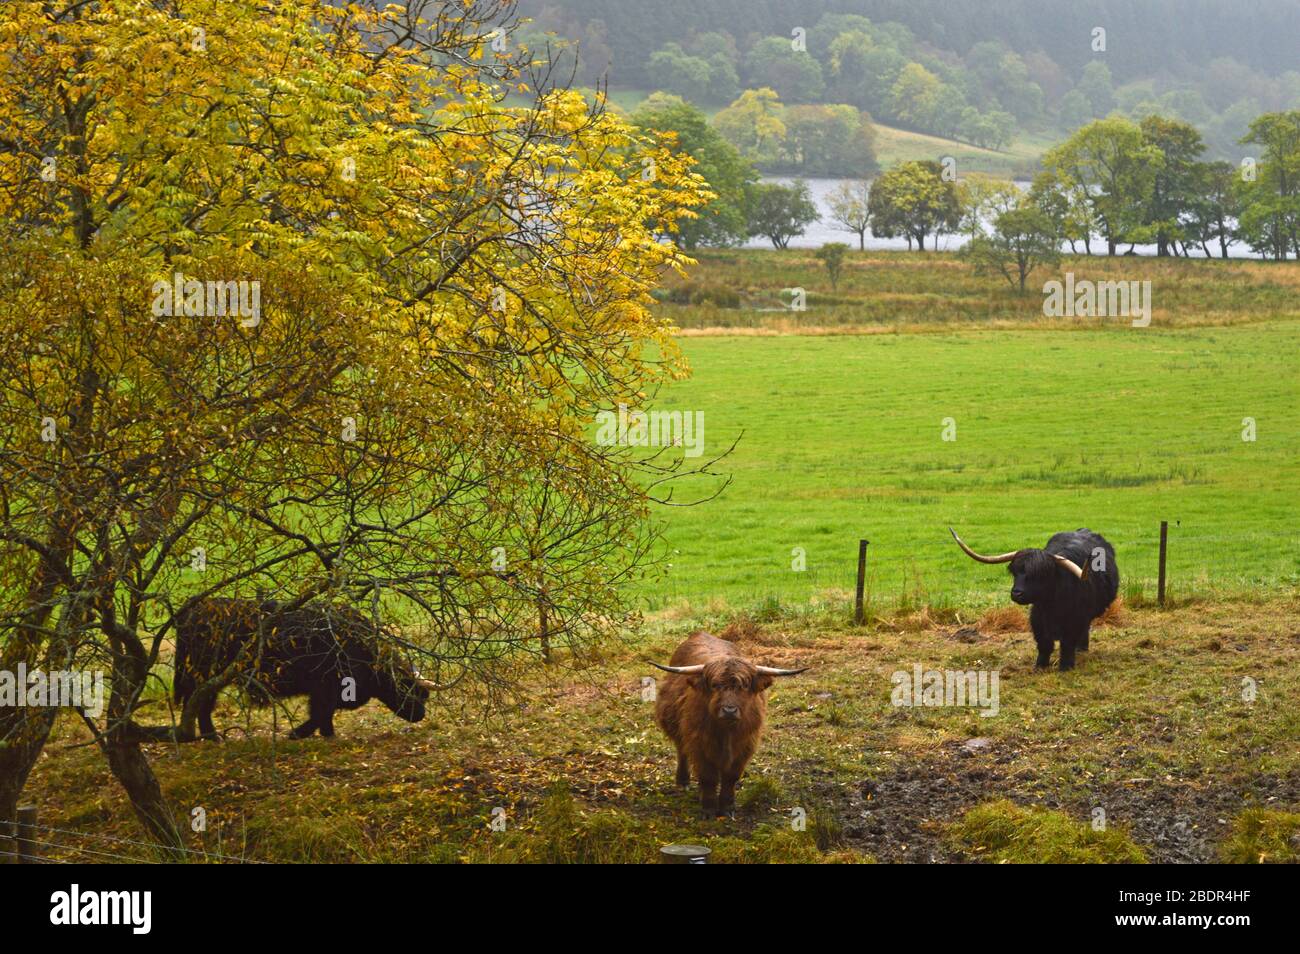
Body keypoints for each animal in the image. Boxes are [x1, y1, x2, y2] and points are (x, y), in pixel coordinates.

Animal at [173, 597, 433, 739]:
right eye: (412, 690)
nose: (421, 714)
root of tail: (197, 608)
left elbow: (325, 713)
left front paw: (326, 733)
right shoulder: (325, 687)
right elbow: (320, 712)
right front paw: (298, 733)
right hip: (202, 676)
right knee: (200, 705)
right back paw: (212, 736)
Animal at [651, 632, 807, 817]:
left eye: (744, 685)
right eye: (714, 685)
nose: (729, 710)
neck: (726, 732)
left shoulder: (746, 744)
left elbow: (731, 776)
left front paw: (727, 806)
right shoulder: (698, 742)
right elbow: (707, 776)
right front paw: (709, 807)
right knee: (682, 751)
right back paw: (683, 782)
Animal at [950, 527, 1119, 671]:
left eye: (1040, 575)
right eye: (1015, 572)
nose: (1016, 593)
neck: (1052, 605)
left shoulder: (1075, 620)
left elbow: (1067, 644)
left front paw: (1065, 667)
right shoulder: (1038, 619)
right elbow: (1044, 644)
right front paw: (1040, 666)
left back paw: (1082, 649)